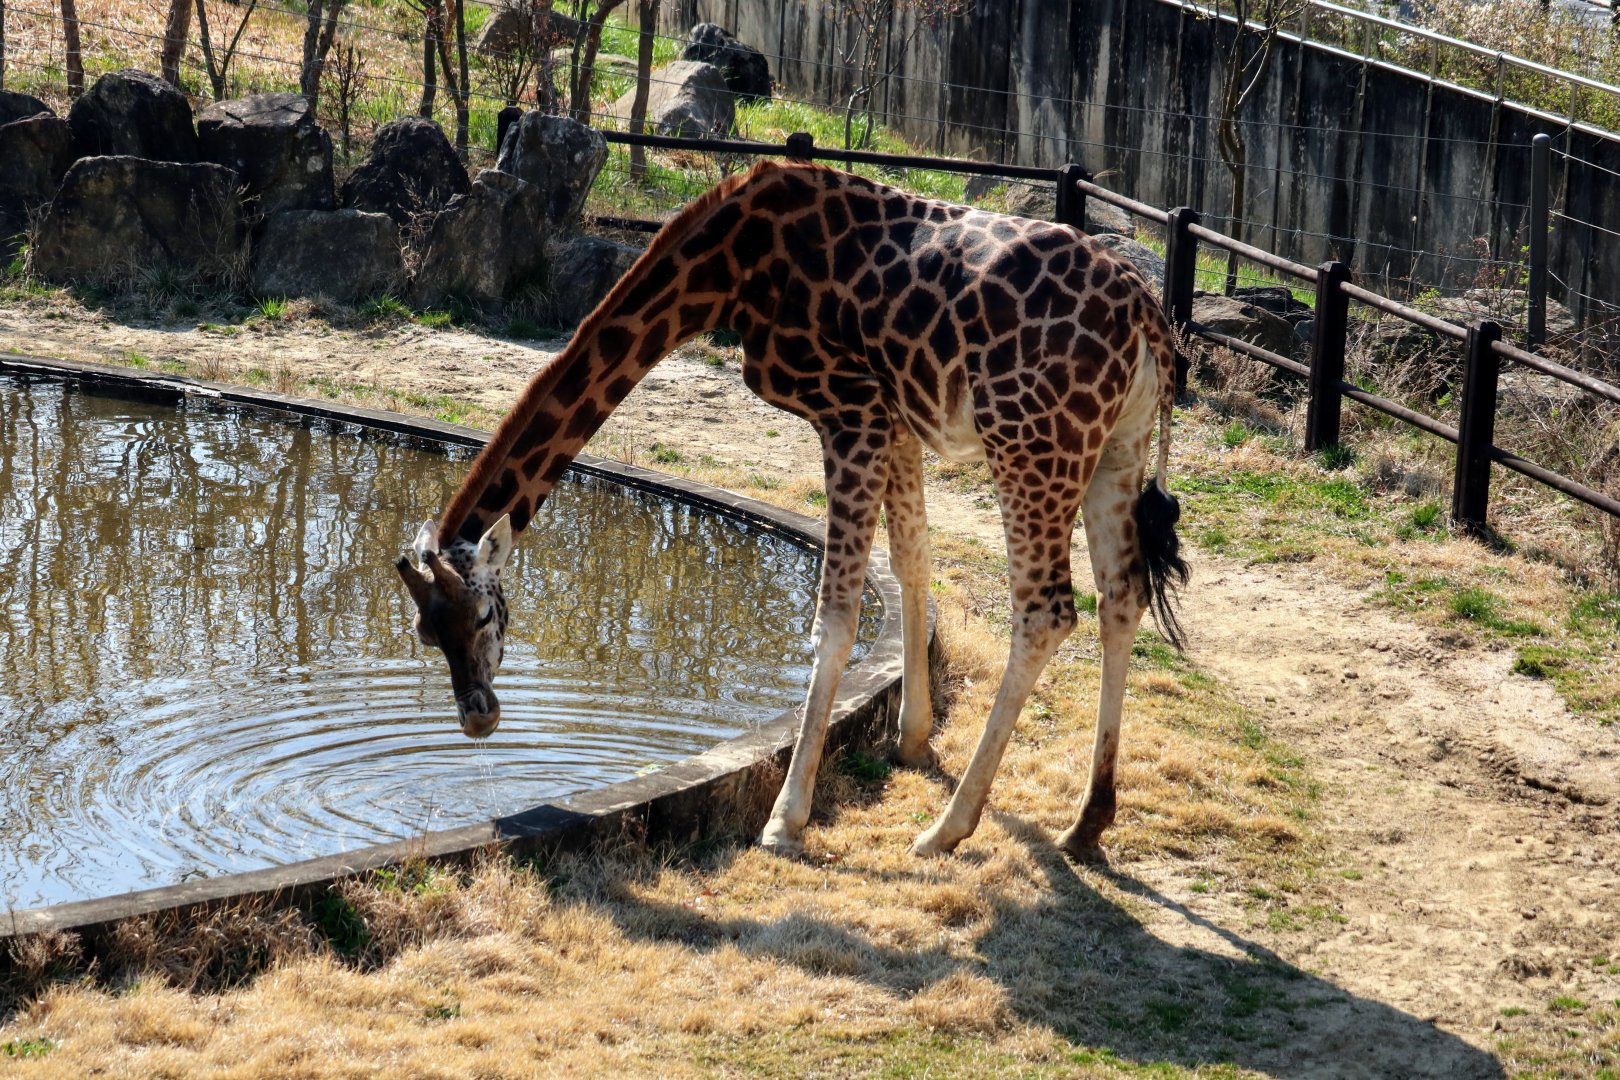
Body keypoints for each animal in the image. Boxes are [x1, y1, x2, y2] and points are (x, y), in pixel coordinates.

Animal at [396, 159, 1187, 859]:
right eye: (427, 634)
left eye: (483, 615)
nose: (477, 716)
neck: (725, 269)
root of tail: (1148, 316)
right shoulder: (893, 417)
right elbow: (912, 561)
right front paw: (912, 739)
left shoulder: (850, 409)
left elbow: (833, 621)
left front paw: (786, 821)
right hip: (1114, 444)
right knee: (1123, 594)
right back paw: (1087, 823)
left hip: (1030, 443)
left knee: (1046, 612)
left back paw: (946, 830)